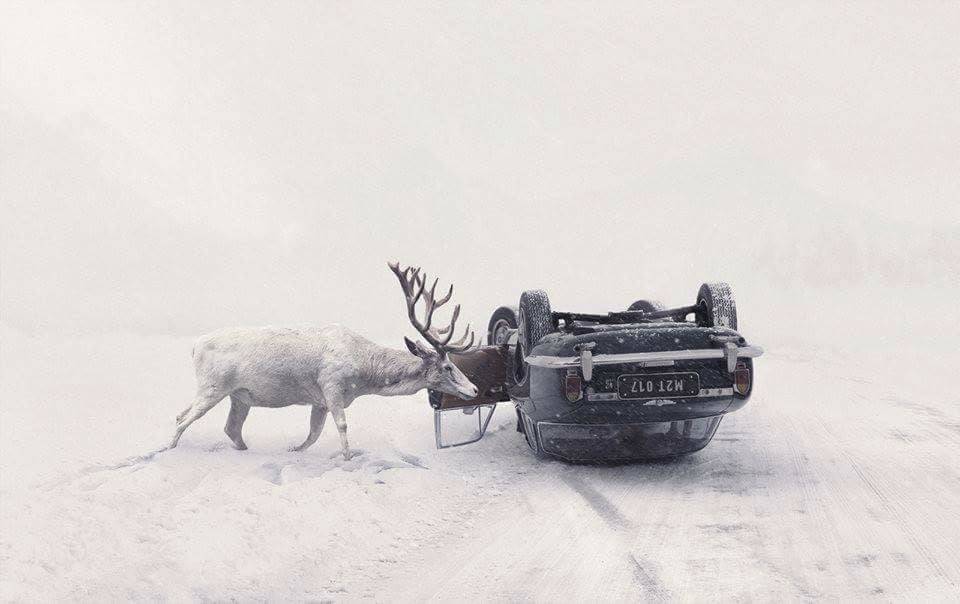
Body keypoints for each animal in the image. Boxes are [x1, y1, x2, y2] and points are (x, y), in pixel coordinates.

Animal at [168, 262, 479, 459]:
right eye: (448, 366)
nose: (474, 389)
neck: (363, 375)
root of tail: (194, 346)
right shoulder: (331, 384)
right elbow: (341, 425)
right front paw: (347, 458)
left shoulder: (318, 400)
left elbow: (313, 434)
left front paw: (293, 450)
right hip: (213, 386)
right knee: (183, 418)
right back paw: (169, 448)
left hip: (238, 395)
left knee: (228, 427)